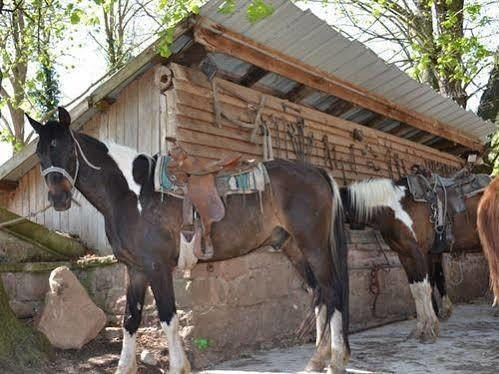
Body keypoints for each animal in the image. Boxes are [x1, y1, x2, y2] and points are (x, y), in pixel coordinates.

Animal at [342, 178, 486, 342]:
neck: (394, 207)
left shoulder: (419, 253)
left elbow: (425, 288)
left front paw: (430, 328)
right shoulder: (405, 255)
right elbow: (416, 289)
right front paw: (419, 328)